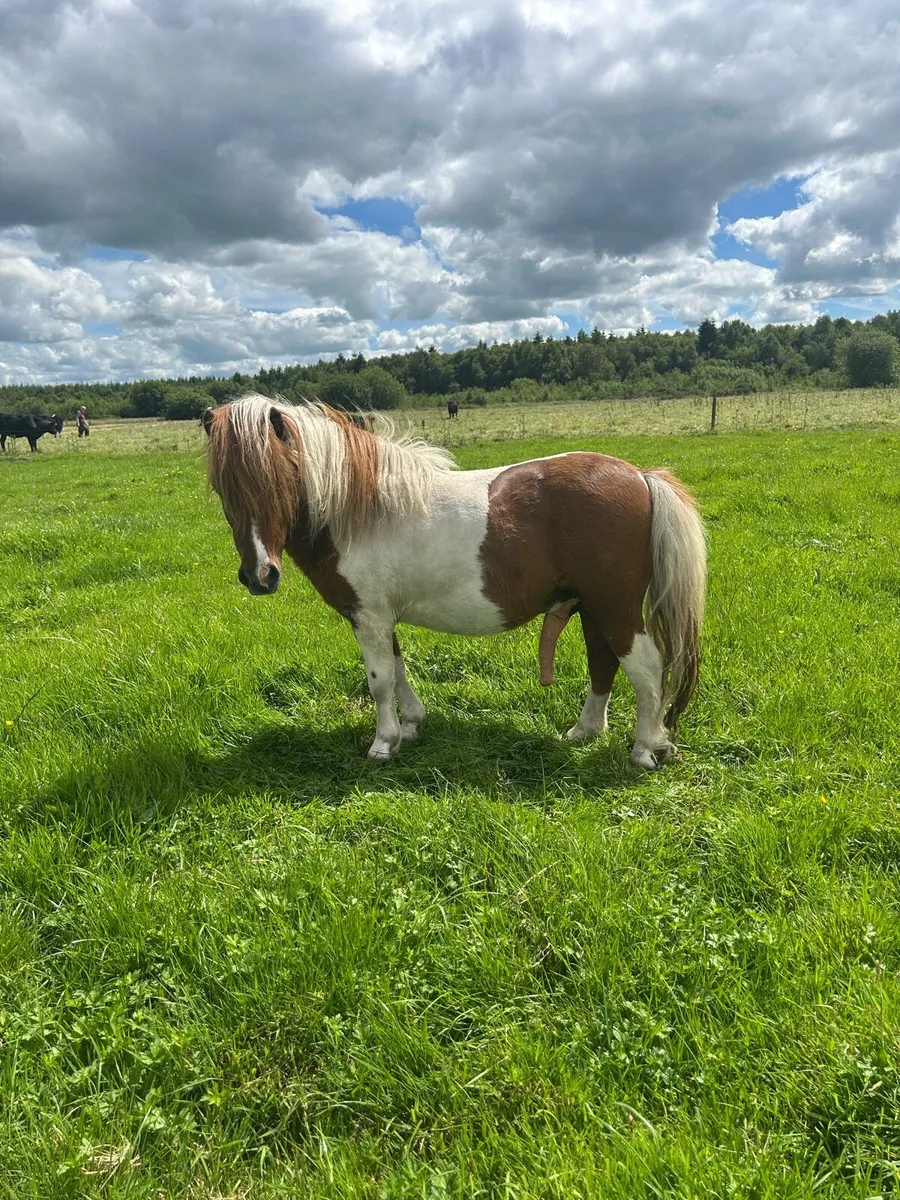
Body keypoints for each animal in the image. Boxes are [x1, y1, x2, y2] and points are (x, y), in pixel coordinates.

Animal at [202, 395, 706, 769]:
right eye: (223, 489)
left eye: (276, 482)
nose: (259, 576)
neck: (361, 511)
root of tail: (639, 476)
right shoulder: (381, 618)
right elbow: (398, 669)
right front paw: (410, 726)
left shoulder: (368, 616)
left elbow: (379, 680)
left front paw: (382, 743)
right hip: (591, 606)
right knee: (603, 663)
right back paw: (584, 732)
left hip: (614, 606)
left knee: (645, 667)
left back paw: (643, 749)